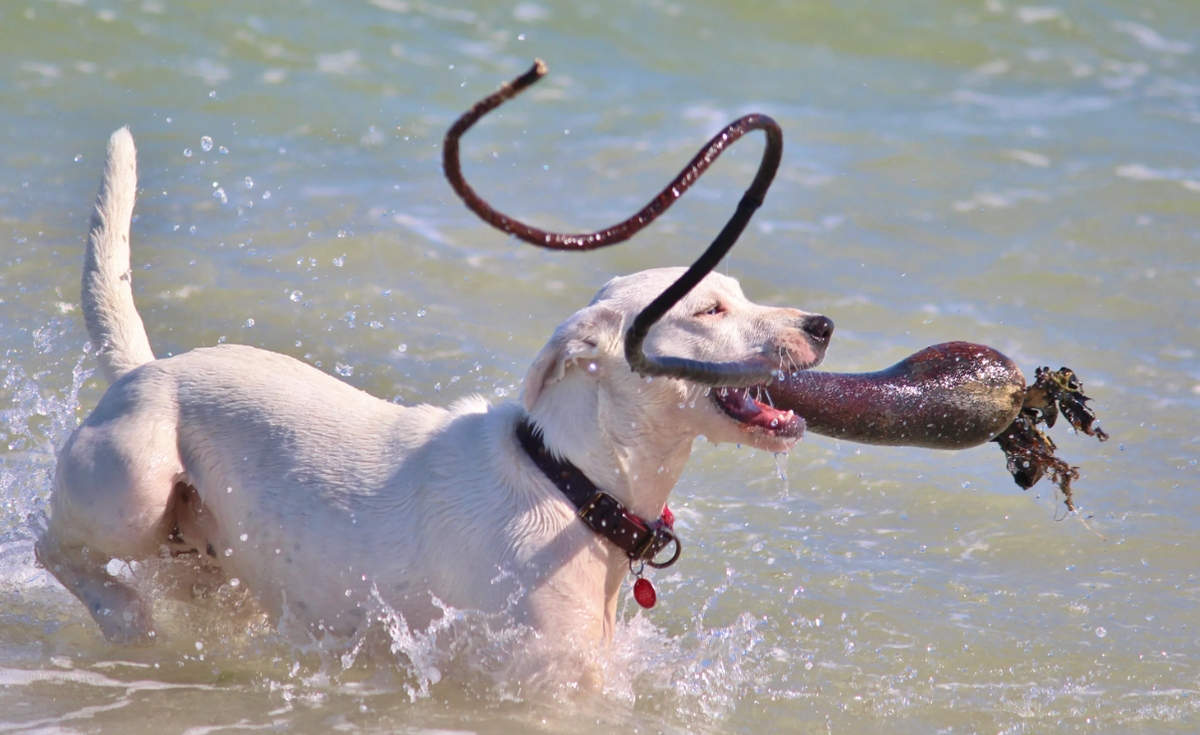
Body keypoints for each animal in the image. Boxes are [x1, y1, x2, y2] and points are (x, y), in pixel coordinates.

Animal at [32, 124, 830, 653]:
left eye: (739, 294)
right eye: (709, 309)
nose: (822, 324)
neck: (574, 481)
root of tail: (144, 370)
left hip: (208, 554)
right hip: (134, 487)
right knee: (53, 548)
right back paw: (123, 617)